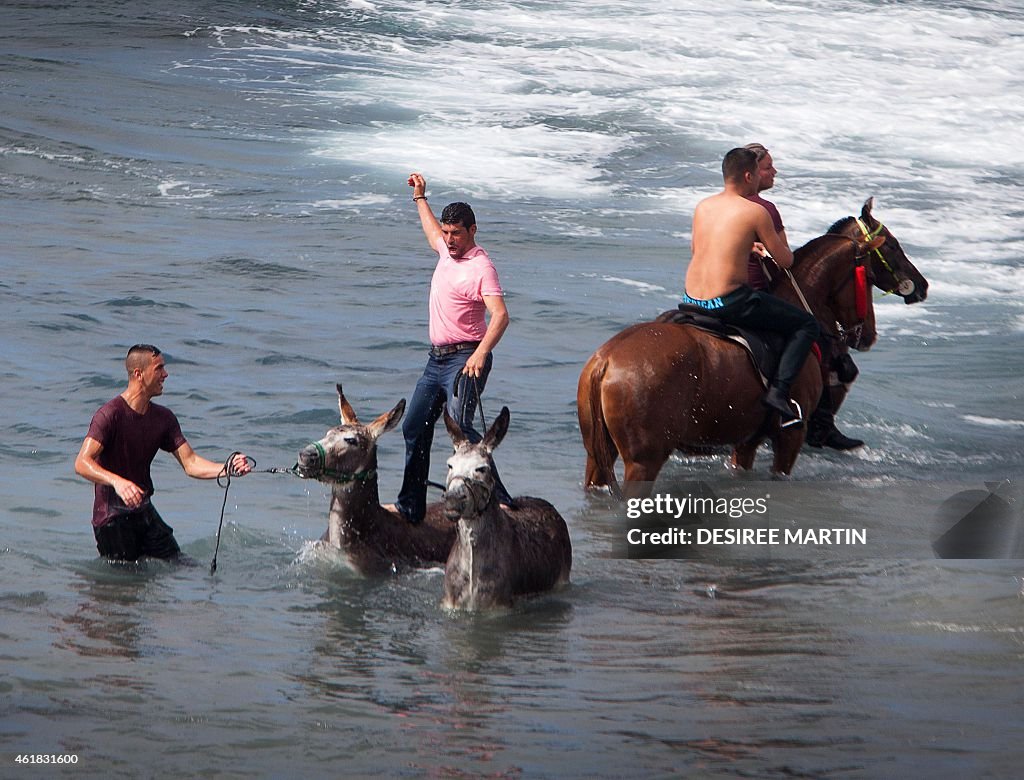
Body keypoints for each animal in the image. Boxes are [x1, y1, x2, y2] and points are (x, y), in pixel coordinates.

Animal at [581, 231, 884, 497]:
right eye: (869, 277)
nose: (868, 335)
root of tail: (605, 360)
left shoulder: (747, 441)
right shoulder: (791, 437)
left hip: (598, 455)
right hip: (644, 462)